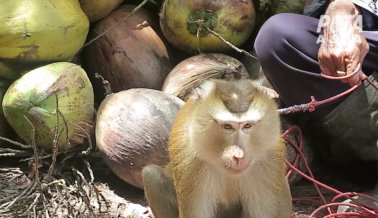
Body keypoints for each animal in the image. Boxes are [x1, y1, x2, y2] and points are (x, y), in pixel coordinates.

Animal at [142, 79, 292, 218]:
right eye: (227, 126)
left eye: (247, 125)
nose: (238, 156)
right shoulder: (190, 163)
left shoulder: (269, 159)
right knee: (151, 174)